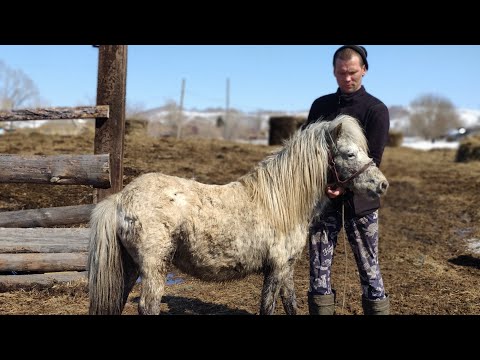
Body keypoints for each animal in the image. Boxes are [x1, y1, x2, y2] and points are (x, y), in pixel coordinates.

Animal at [88, 115, 390, 316]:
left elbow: (290, 304)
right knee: (147, 306)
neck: (280, 201)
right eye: (349, 154)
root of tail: (121, 198)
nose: (382, 184)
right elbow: (268, 308)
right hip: (153, 268)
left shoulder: (287, 269)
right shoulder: (276, 268)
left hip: (129, 267)